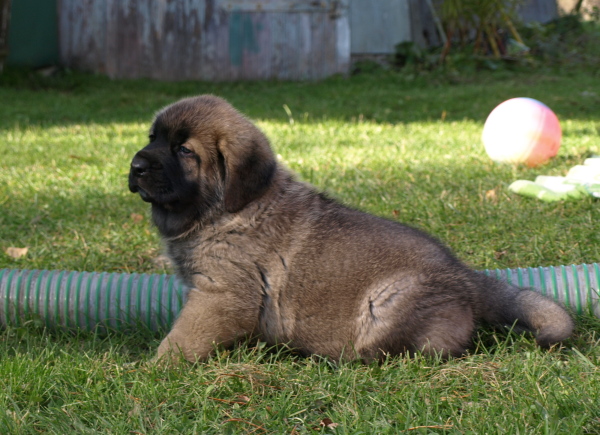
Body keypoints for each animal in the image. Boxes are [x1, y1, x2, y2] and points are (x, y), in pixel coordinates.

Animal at [127, 96, 572, 364]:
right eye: (153, 138)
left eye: (184, 150)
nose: (135, 166)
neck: (225, 210)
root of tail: (467, 276)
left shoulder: (222, 295)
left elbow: (184, 337)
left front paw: (154, 368)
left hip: (387, 302)